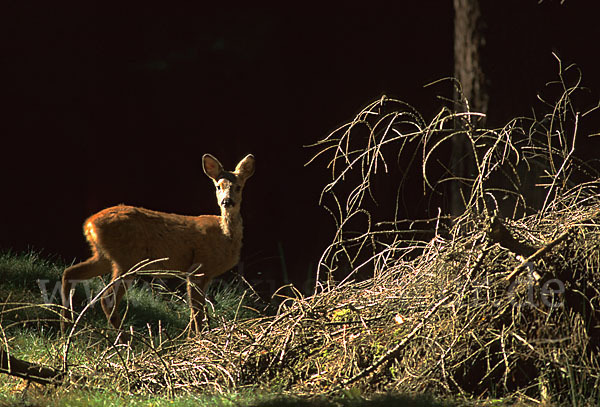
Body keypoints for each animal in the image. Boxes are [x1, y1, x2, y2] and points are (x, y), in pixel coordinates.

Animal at [61, 155, 255, 336]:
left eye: (238, 187)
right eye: (218, 186)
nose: (227, 202)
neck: (225, 236)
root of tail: (89, 224)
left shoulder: (203, 274)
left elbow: (196, 311)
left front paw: (190, 339)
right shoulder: (198, 268)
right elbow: (197, 311)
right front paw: (198, 340)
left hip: (104, 257)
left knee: (70, 273)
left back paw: (66, 328)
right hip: (127, 260)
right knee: (107, 300)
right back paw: (126, 342)